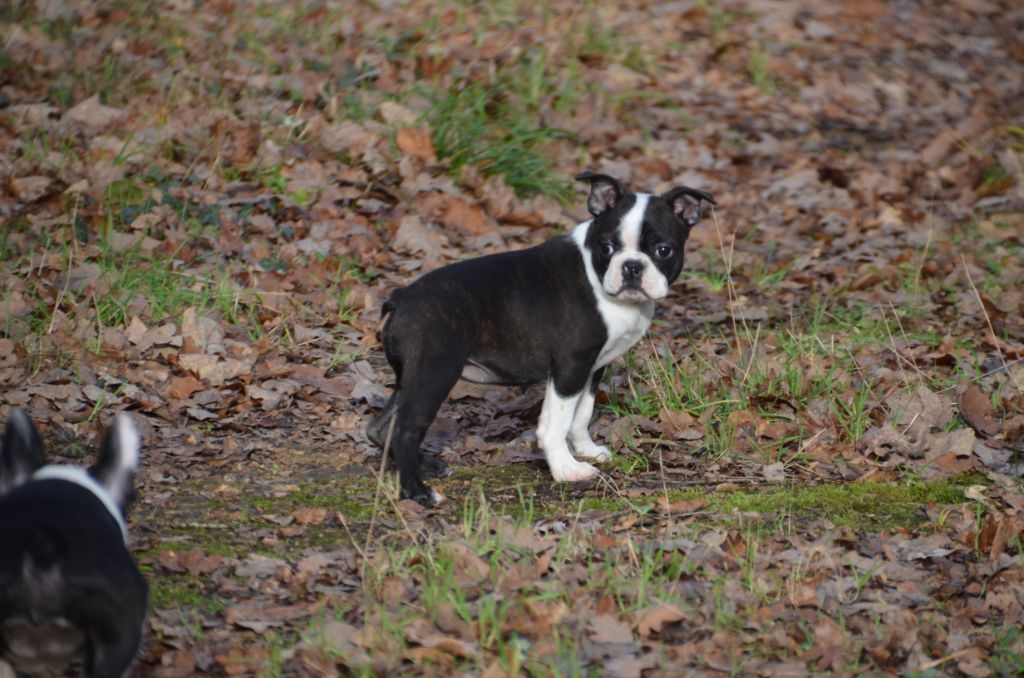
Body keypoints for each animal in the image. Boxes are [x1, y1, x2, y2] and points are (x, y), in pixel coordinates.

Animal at [367, 172, 716, 505]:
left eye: (663, 250)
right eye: (606, 248)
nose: (632, 267)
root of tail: (400, 298)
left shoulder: (592, 368)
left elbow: (581, 415)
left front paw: (586, 450)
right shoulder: (570, 365)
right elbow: (556, 422)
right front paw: (566, 468)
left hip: (410, 378)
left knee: (380, 428)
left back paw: (426, 466)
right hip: (434, 373)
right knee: (405, 430)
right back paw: (418, 493)